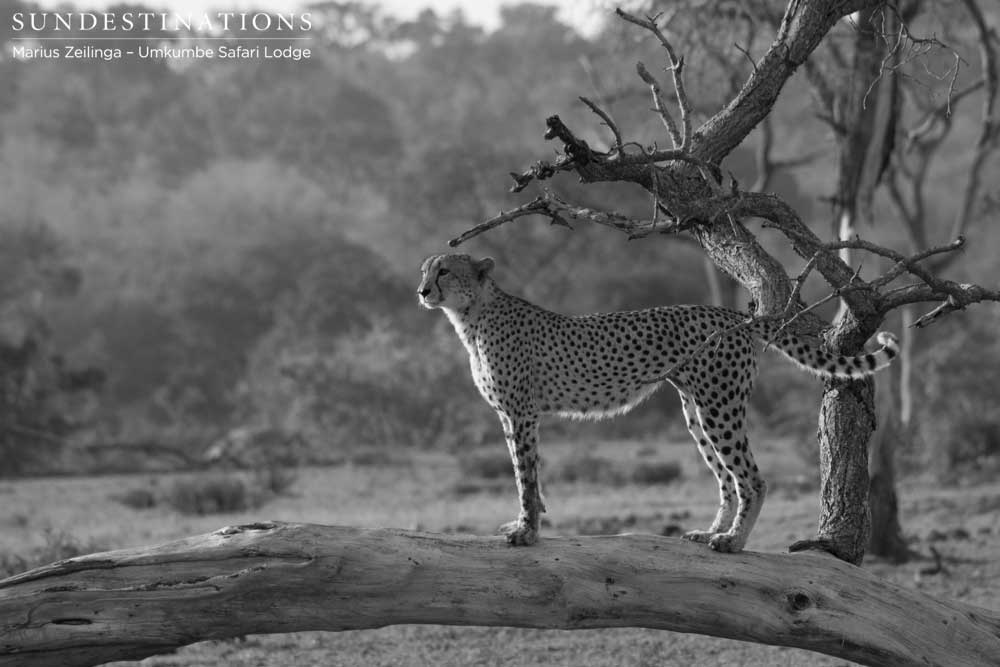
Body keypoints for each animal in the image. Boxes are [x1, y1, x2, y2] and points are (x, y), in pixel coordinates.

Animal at [414, 253, 900, 552]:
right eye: (425, 271)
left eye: (445, 271)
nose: (421, 291)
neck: (473, 316)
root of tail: (732, 314)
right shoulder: (511, 416)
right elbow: (527, 474)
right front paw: (528, 523)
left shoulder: (521, 413)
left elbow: (525, 478)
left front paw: (528, 531)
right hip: (696, 410)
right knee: (726, 479)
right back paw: (710, 532)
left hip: (719, 407)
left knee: (752, 479)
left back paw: (733, 542)